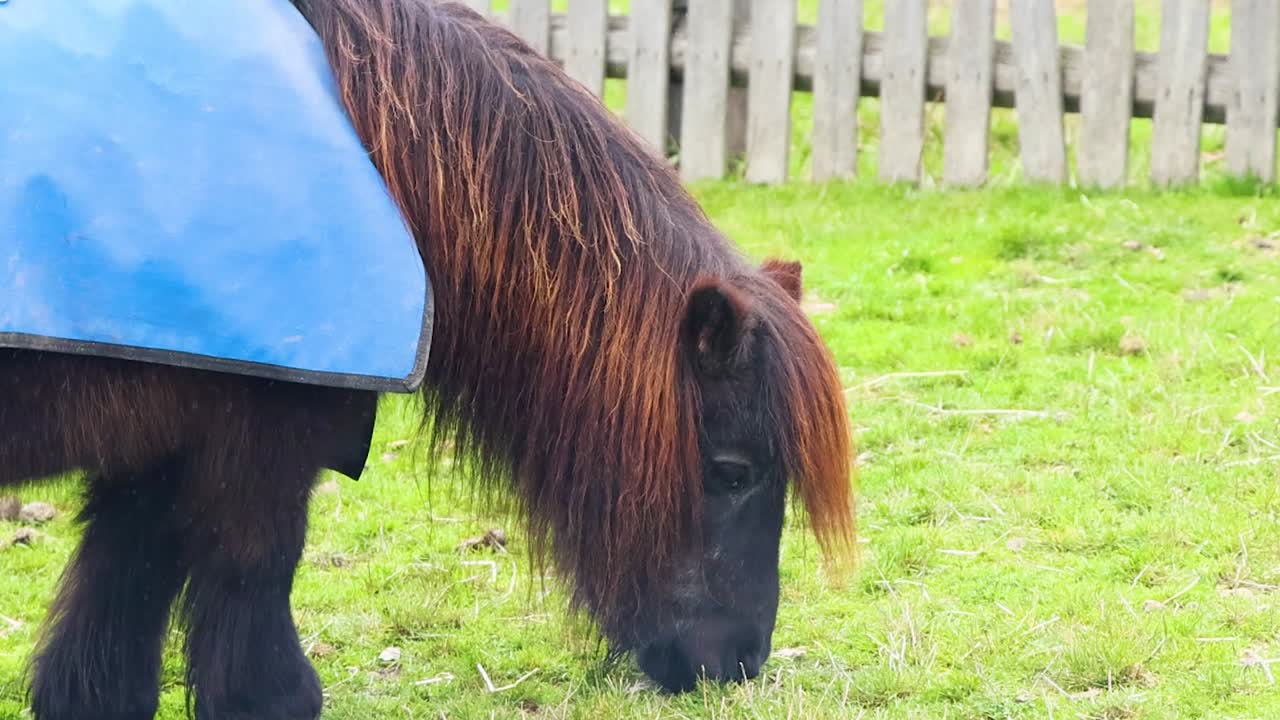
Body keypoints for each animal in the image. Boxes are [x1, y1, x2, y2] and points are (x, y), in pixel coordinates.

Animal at [0, 0, 855, 717]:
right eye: (733, 473)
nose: (739, 661)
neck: (380, 148)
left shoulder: (156, 456)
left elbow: (109, 637)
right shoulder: (256, 455)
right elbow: (254, 626)